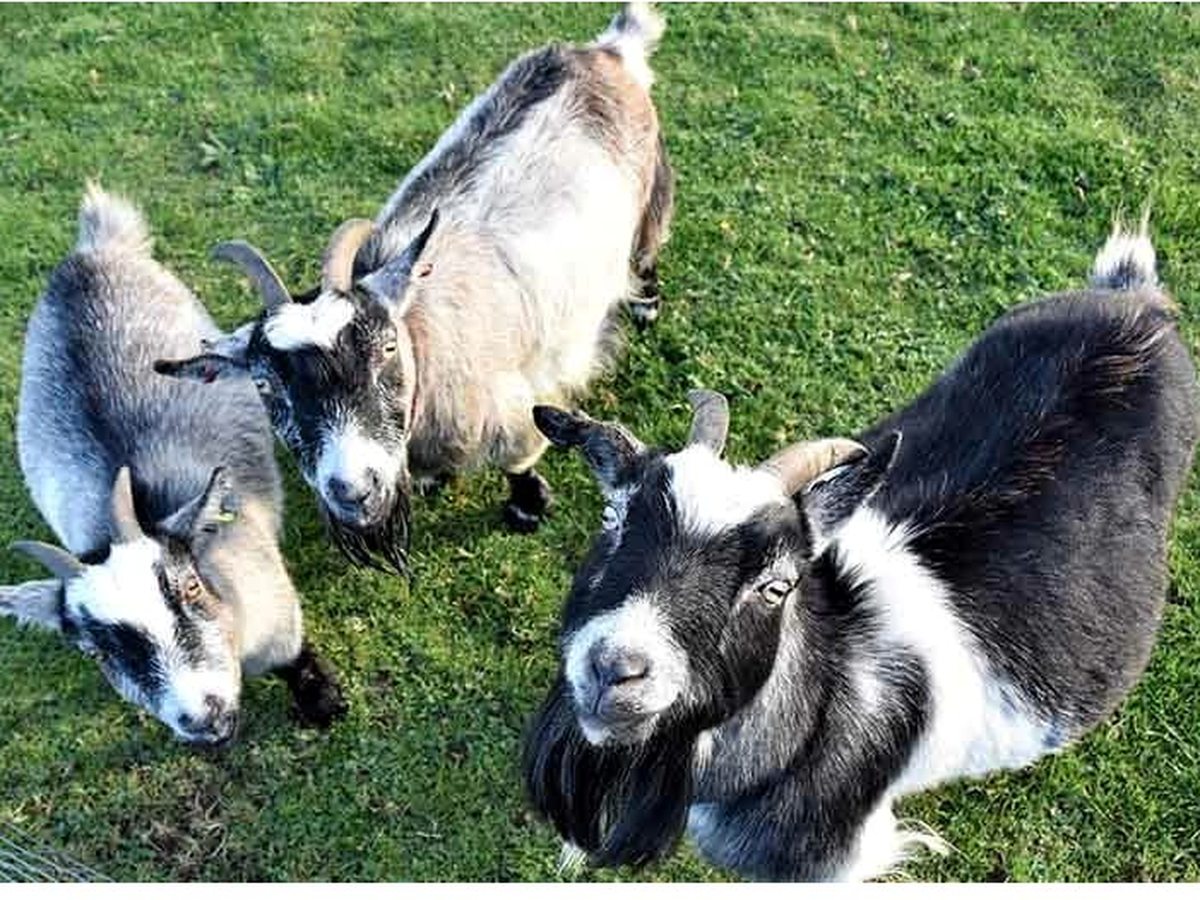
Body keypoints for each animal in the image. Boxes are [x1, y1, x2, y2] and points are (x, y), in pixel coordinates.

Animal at [0, 185, 347, 746]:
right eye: (98, 651)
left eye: (188, 587)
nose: (206, 717)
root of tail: (91, 252)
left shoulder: (279, 617)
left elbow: (297, 661)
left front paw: (324, 703)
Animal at [155, 2, 675, 572]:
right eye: (265, 384)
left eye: (386, 348)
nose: (354, 491)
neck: (423, 343)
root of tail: (608, 51)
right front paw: (433, 482)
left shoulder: (513, 416)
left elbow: (519, 461)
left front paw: (527, 508)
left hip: (652, 197)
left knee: (647, 254)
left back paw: (646, 308)